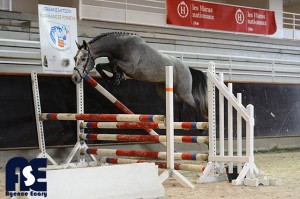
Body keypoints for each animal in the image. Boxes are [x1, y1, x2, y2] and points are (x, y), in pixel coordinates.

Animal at [72, 32, 209, 118]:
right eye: (74, 58)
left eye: (84, 58)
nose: (75, 78)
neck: (121, 46)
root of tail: (188, 68)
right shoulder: (112, 64)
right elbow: (101, 66)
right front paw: (114, 78)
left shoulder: (130, 67)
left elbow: (115, 64)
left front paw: (117, 78)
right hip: (165, 90)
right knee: (181, 104)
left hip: (183, 92)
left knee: (196, 104)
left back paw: (201, 126)